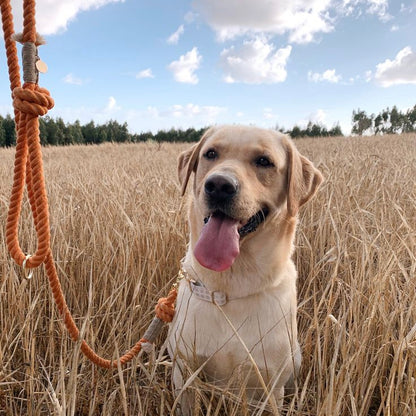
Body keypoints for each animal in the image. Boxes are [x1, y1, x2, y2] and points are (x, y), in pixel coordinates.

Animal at [167, 125, 324, 414]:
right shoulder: (185, 374)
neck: (232, 285)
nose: (219, 186)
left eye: (264, 161)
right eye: (210, 154)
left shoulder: (269, 387)